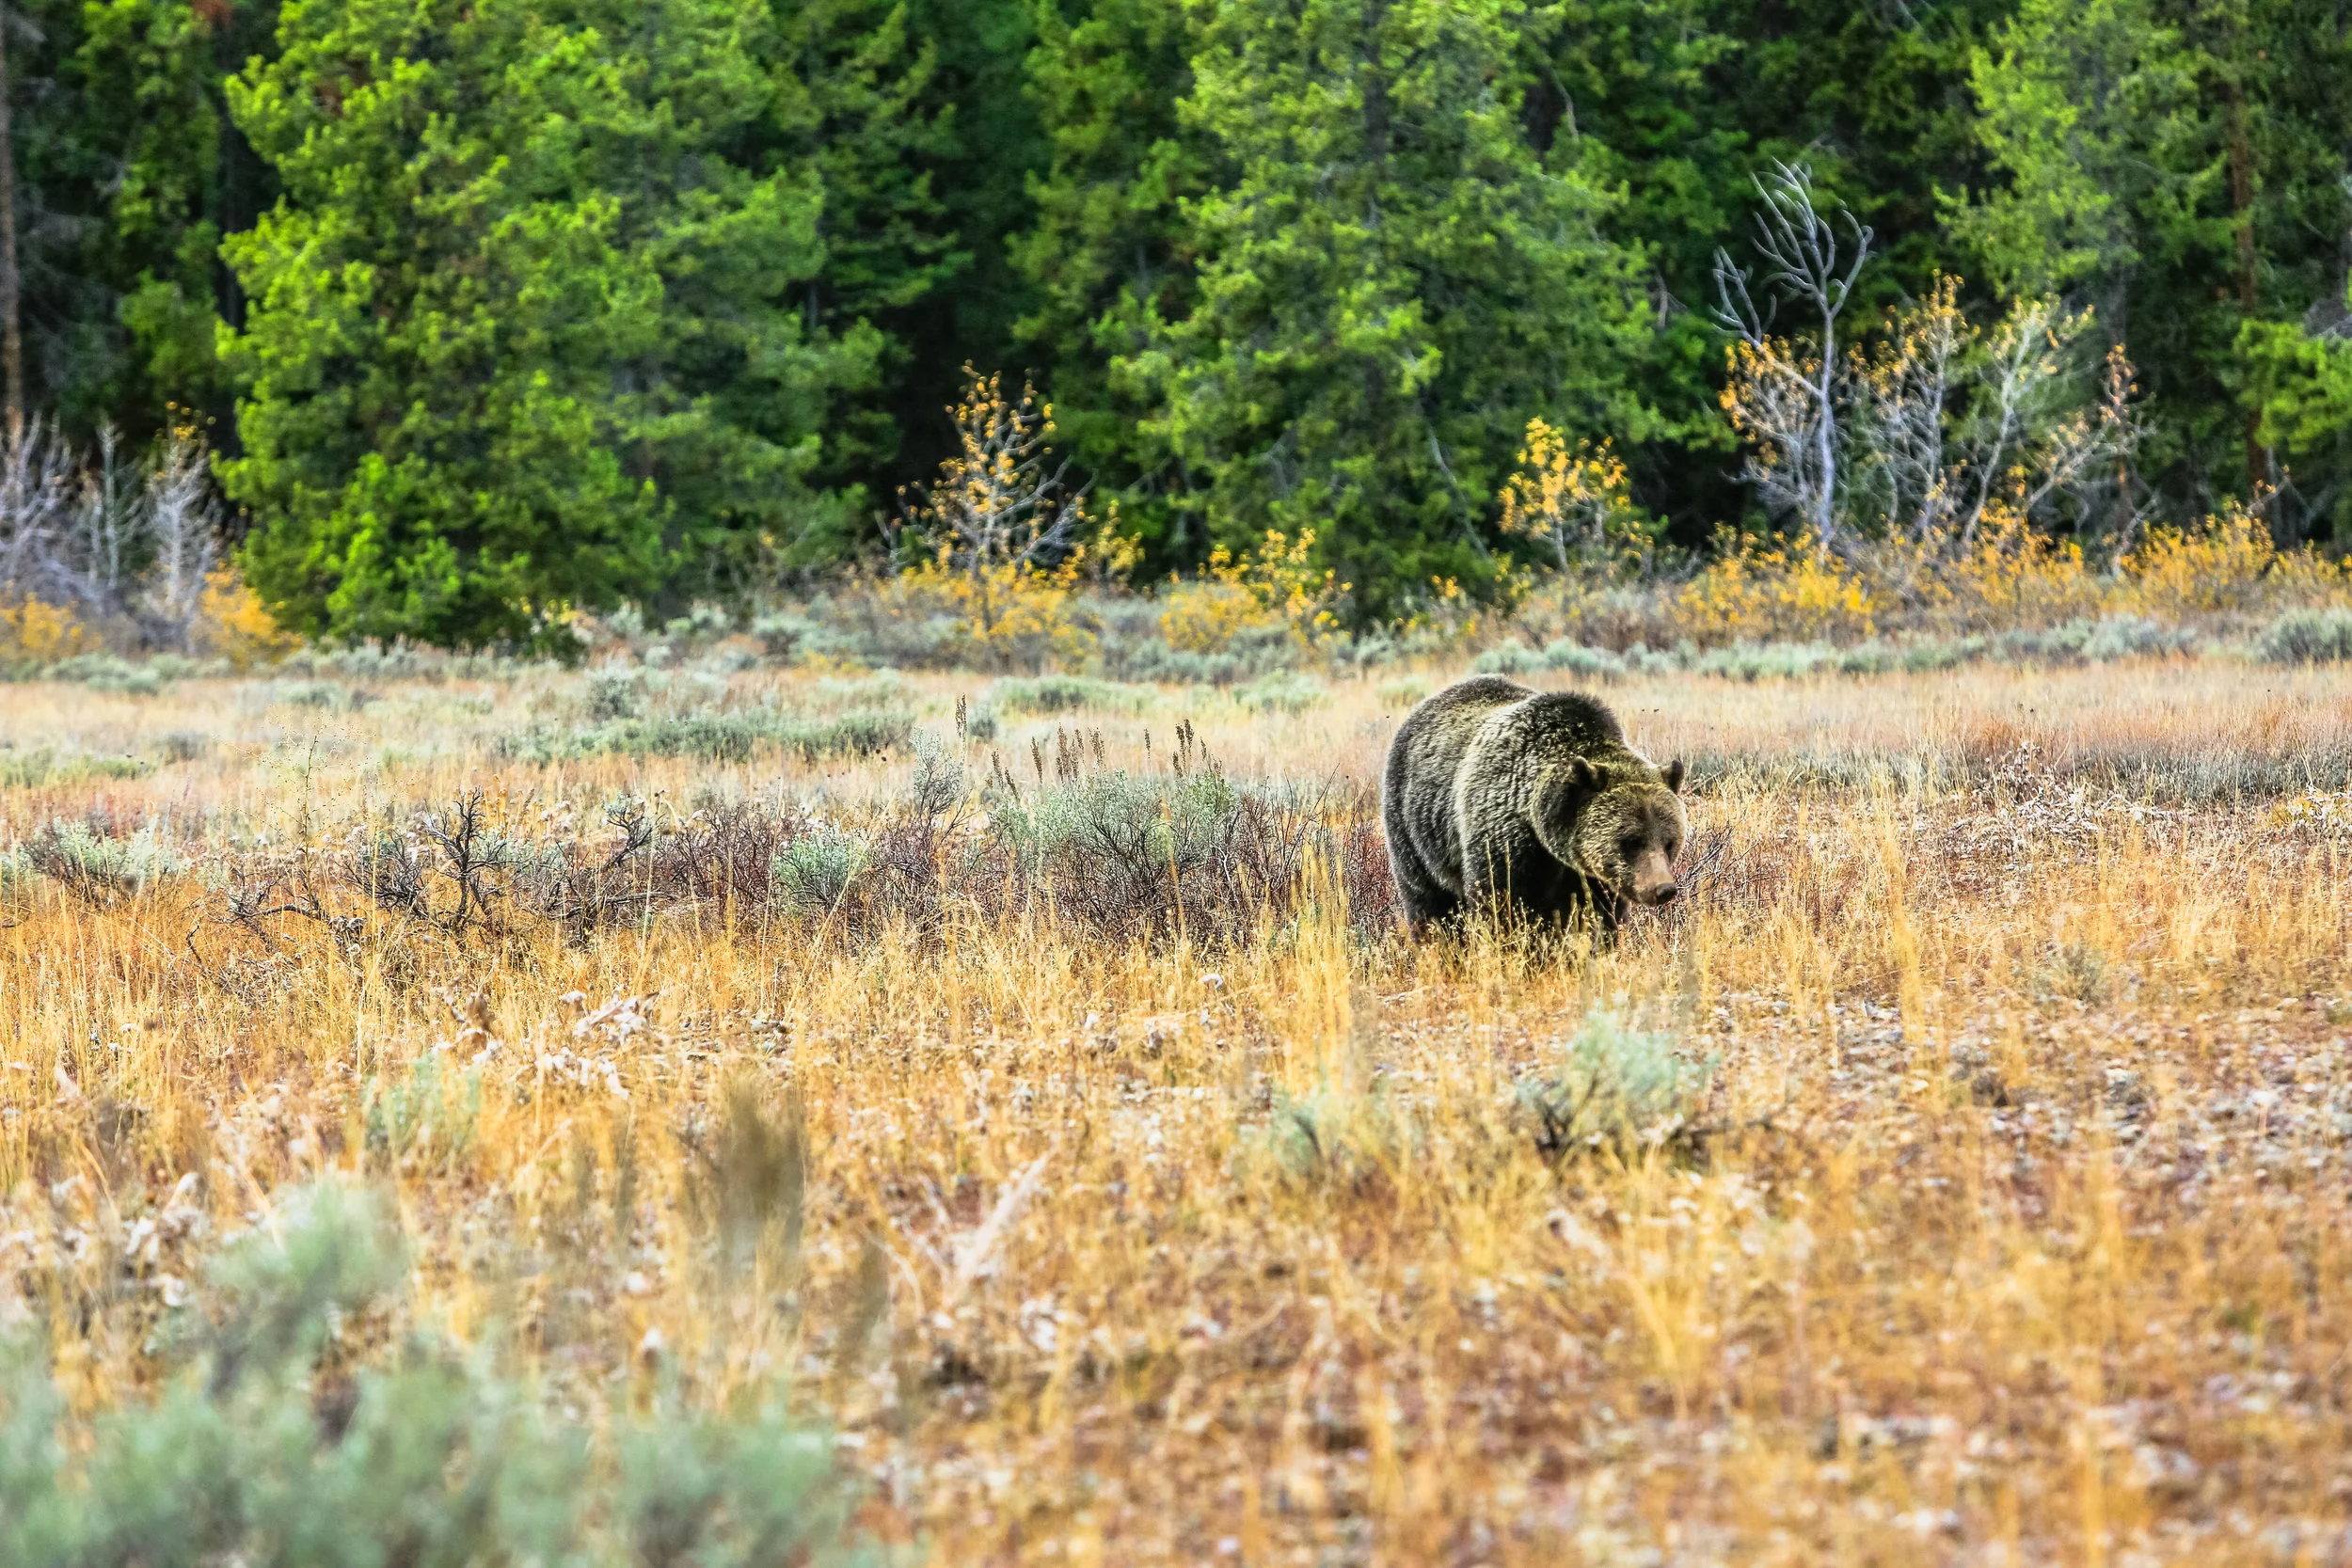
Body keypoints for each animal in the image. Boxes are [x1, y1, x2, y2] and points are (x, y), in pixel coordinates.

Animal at [1381, 675, 1686, 937]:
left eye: (1670, 842)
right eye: (1631, 841)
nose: (1663, 888)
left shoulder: (1590, 877)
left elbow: (1598, 917)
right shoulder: (1504, 841)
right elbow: (1502, 908)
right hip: (1415, 829)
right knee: (1429, 903)